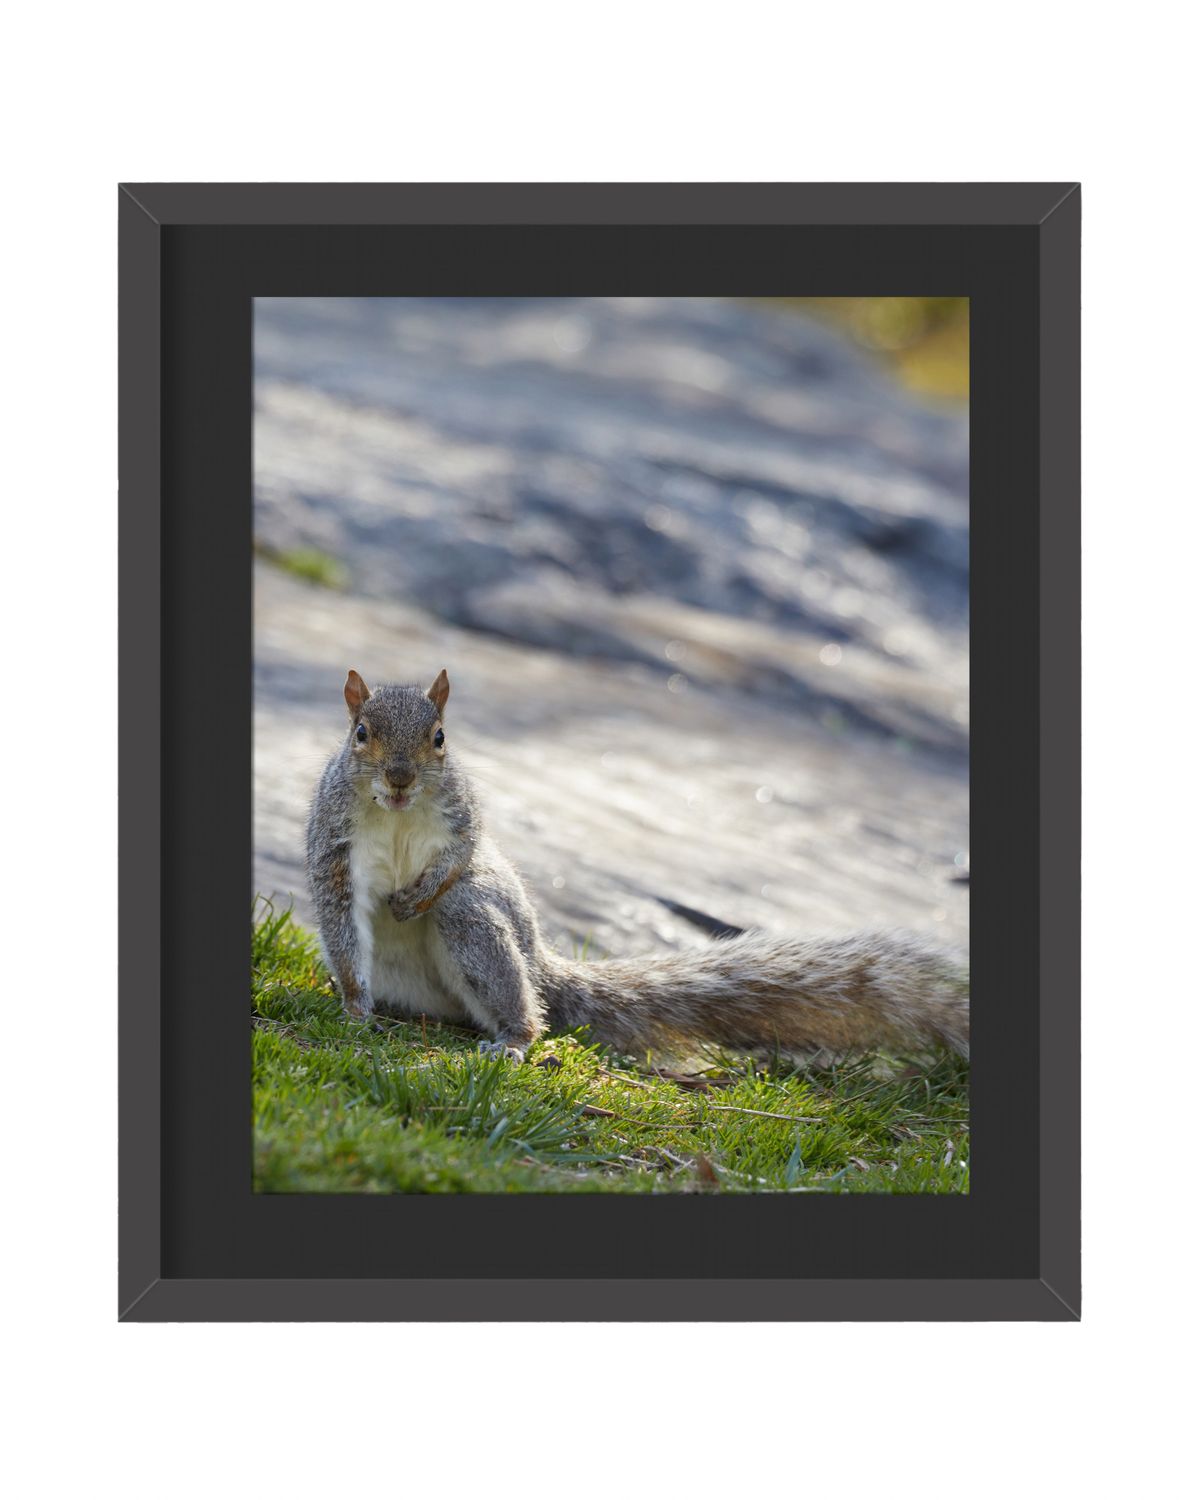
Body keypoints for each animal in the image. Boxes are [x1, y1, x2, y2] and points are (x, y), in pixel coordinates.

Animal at [306, 669, 969, 1063]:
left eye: (440, 738)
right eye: (360, 732)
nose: (399, 779)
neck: (396, 814)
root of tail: (541, 965)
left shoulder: (460, 816)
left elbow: (460, 855)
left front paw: (417, 895)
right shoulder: (334, 844)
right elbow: (339, 915)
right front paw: (354, 1009)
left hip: (478, 923)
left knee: (517, 995)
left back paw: (514, 1040)